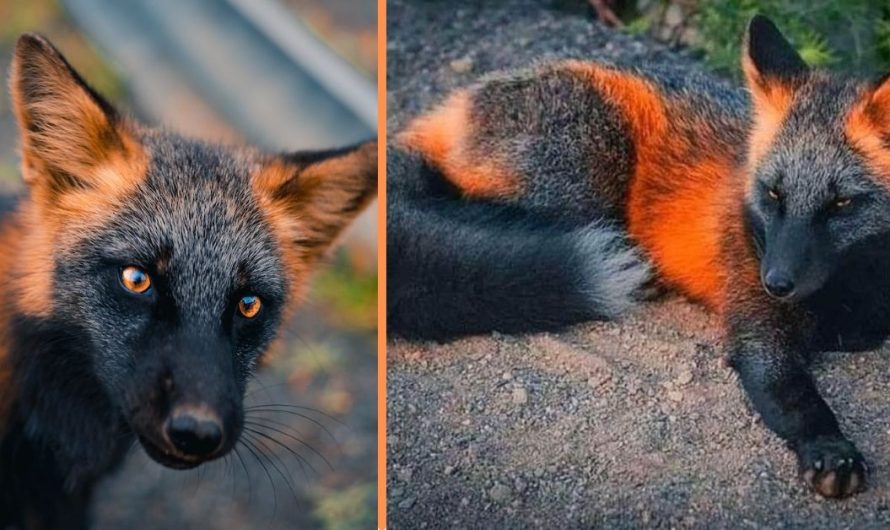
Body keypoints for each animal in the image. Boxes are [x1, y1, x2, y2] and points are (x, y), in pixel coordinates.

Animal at [388, 14, 888, 498]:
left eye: (841, 203)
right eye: (773, 194)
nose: (777, 282)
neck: (853, 293)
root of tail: (460, 99)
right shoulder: (757, 326)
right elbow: (796, 398)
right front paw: (829, 449)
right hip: (584, 175)